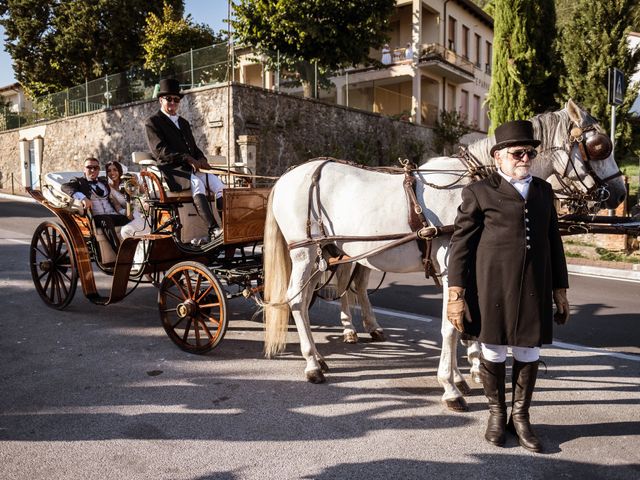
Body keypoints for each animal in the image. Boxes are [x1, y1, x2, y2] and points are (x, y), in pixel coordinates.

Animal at [262, 99, 624, 410]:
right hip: (305, 252)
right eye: (599, 146)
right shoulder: (452, 267)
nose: (621, 193)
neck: (475, 188)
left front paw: (468, 374)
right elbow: (451, 327)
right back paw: (313, 363)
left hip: (328, 252)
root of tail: (286, 176)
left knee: (326, 292)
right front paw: (451, 387)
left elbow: (465, 322)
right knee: (298, 300)